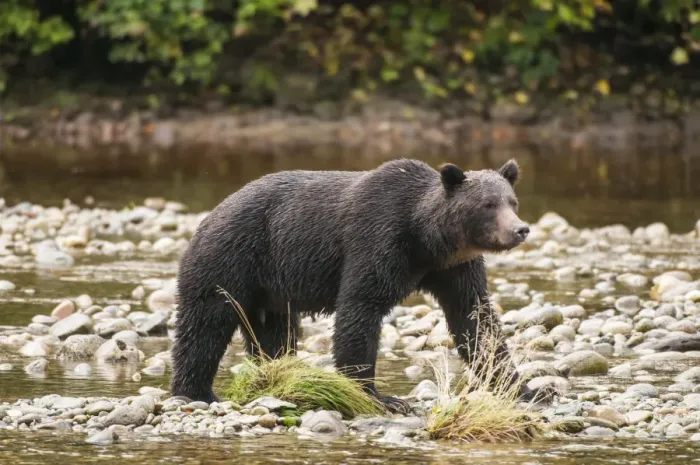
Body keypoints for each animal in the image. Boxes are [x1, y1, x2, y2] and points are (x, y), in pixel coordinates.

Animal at [170, 157, 540, 412]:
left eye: (512, 201)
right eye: (487, 204)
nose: (520, 229)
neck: (427, 241)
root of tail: (208, 216)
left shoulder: (455, 269)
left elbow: (475, 320)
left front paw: (527, 389)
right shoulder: (377, 238)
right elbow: (360, 308)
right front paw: (380, 395)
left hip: (270, 291)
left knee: (273, 335)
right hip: (230, 260)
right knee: (205, 326)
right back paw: (197, 392)